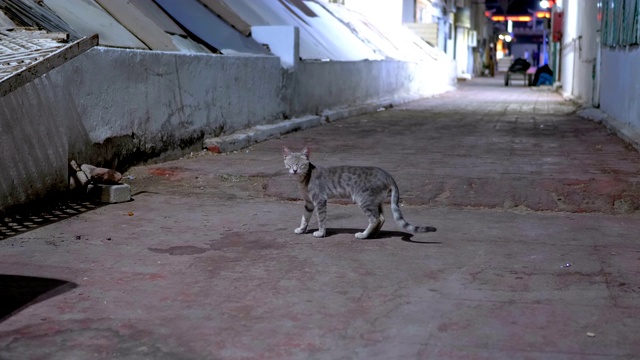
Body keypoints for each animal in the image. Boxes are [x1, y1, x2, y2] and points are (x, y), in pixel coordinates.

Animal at [284, 146, 438, 239]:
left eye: (301, 165)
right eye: (289, 165)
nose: (294, 170)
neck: (304, 180)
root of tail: (387, 175)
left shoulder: (320, 200)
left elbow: (321, 219)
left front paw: (321, 233)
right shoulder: (309, 203)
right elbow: (304, 218)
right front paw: (301, 229)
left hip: (364, 199)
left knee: (375, 219)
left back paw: (363, 235)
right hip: (375, 201)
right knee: (381, 218)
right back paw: (372, 235)